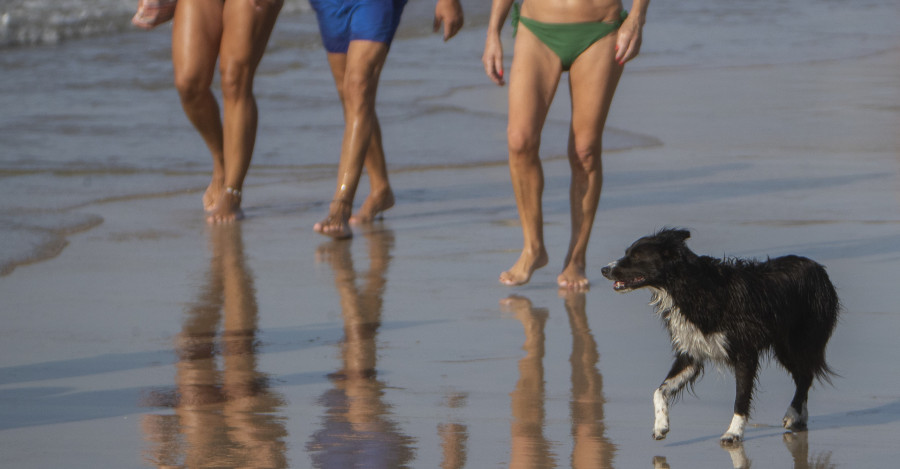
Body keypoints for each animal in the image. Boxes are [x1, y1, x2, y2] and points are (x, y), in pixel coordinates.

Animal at [600, 229, 840, 444]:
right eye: (627, 252)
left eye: (636, 256)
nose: (604, 269)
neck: (688, 288)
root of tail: (817, 268)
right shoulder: (691, 353)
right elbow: (659, 391)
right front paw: (661, 426)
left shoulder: (744, 353)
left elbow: (740, 397)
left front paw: (733, 433)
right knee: (803, 375)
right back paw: (800, 416)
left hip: (795, 342)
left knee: (805, 376)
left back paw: (793, 413)